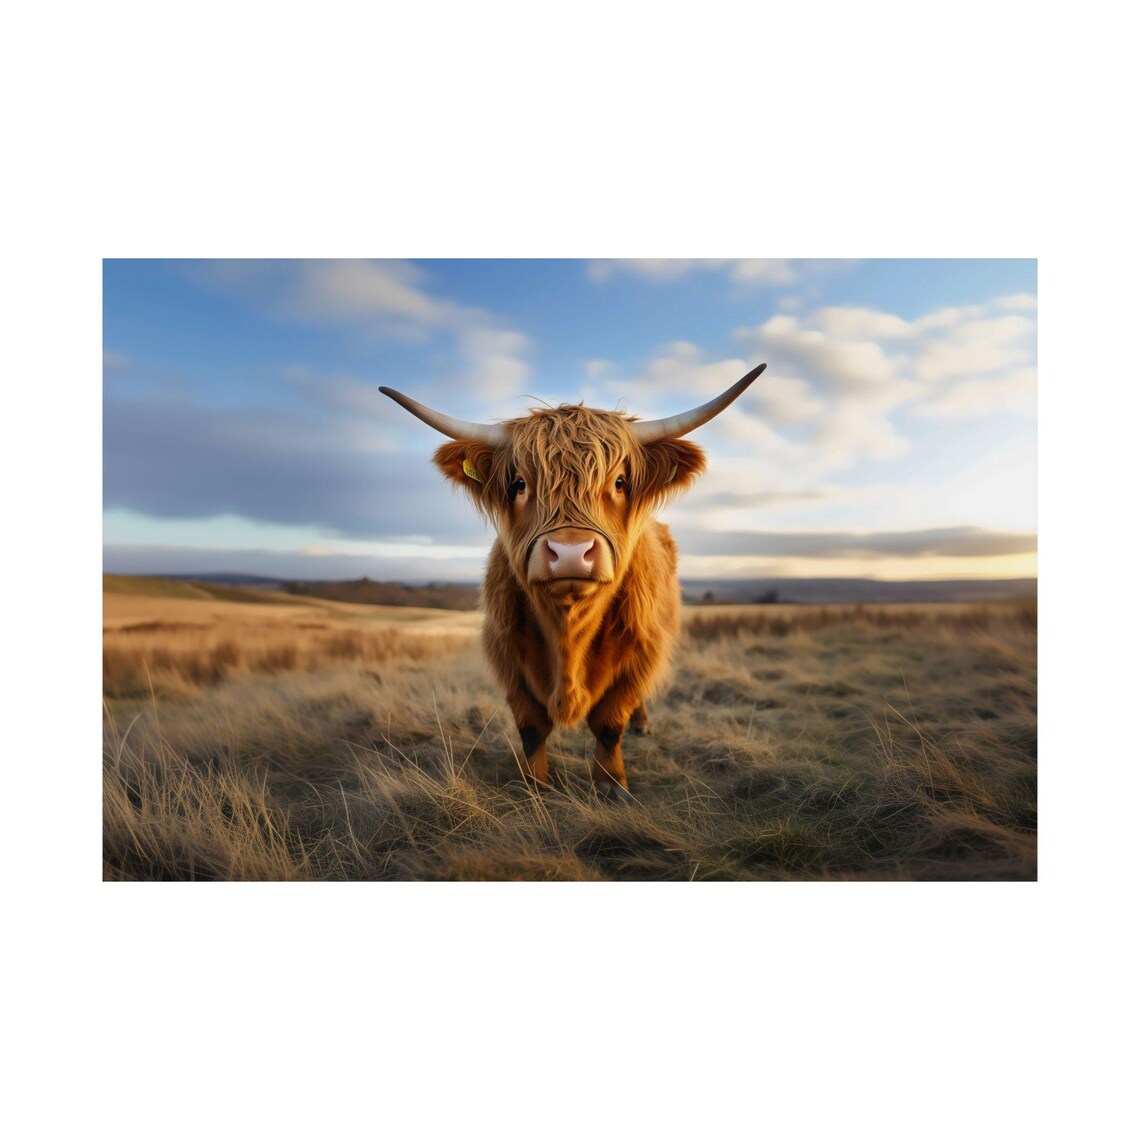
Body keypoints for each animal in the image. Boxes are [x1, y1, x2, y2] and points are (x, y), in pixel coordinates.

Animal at [379, 363, 765, 799]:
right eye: (519, 484)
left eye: (619, 482)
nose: (569, 552)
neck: (567, 632)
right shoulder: (507, 654)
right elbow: (531, 727)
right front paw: (533, 785)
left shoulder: (642, 650)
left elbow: (610, 722)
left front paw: (611, 784)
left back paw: (642, 725)